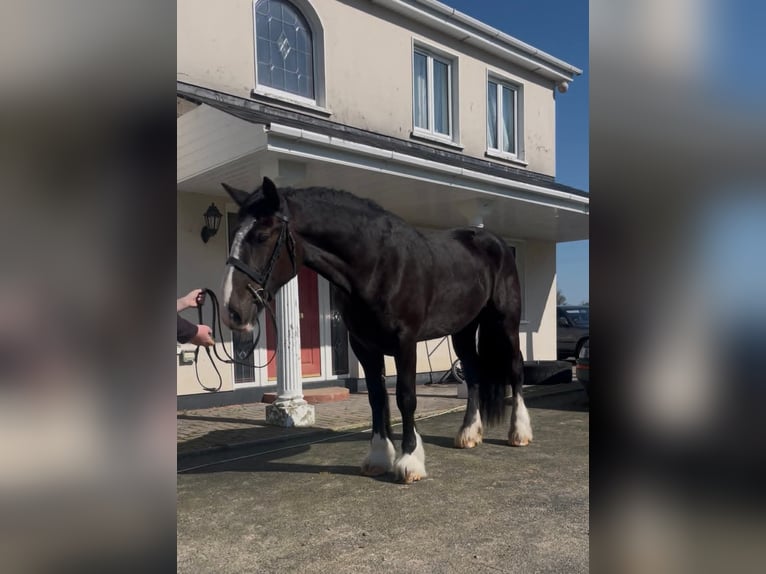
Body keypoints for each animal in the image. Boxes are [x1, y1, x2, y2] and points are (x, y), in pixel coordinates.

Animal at [220, 176, 532, 484]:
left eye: (262, 236)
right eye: (233, 234)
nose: (232, 311)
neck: (377, 265)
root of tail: (495, 241)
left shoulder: (405, 342)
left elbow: (405, 397)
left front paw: (409, 460)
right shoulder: (364, 345)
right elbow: (376, 397)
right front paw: (380, 457)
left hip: (506, 322)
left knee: (516, 368)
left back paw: (519, 432)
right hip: (463, 330)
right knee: (473, 372)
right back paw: (468, 434)